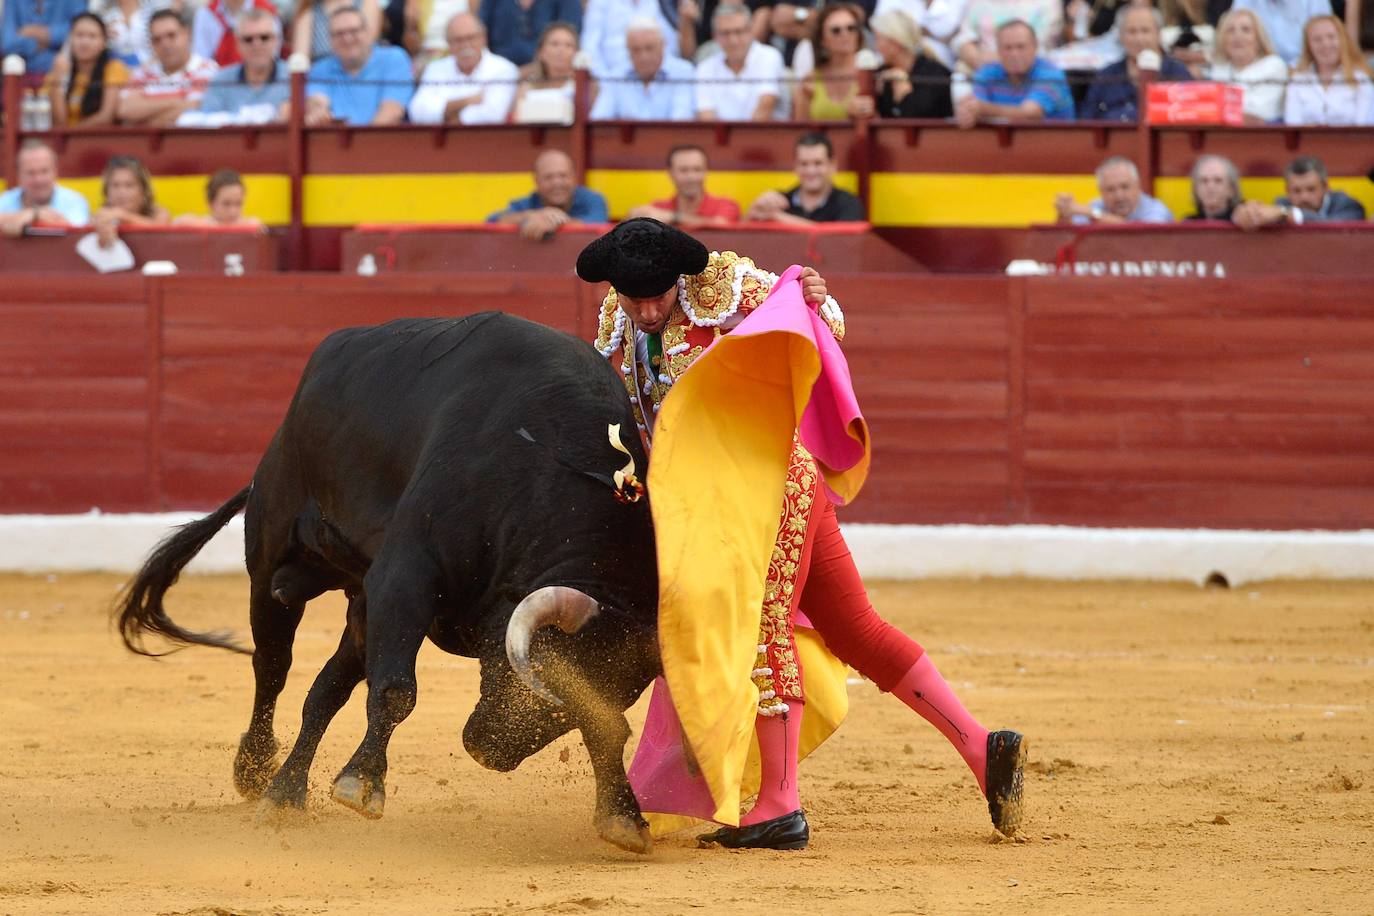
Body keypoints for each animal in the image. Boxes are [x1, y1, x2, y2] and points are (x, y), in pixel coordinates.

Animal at [115, 315, 662, 851]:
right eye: (532, 672)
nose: (488, 750)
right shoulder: (405, 577)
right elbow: (398, 689)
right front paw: (361, 784)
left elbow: (607, 724)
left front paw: (622, 816)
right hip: (272, 565)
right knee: (272, 666)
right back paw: (254, 769)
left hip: (360, 600)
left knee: (325, 689)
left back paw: (285, 794)